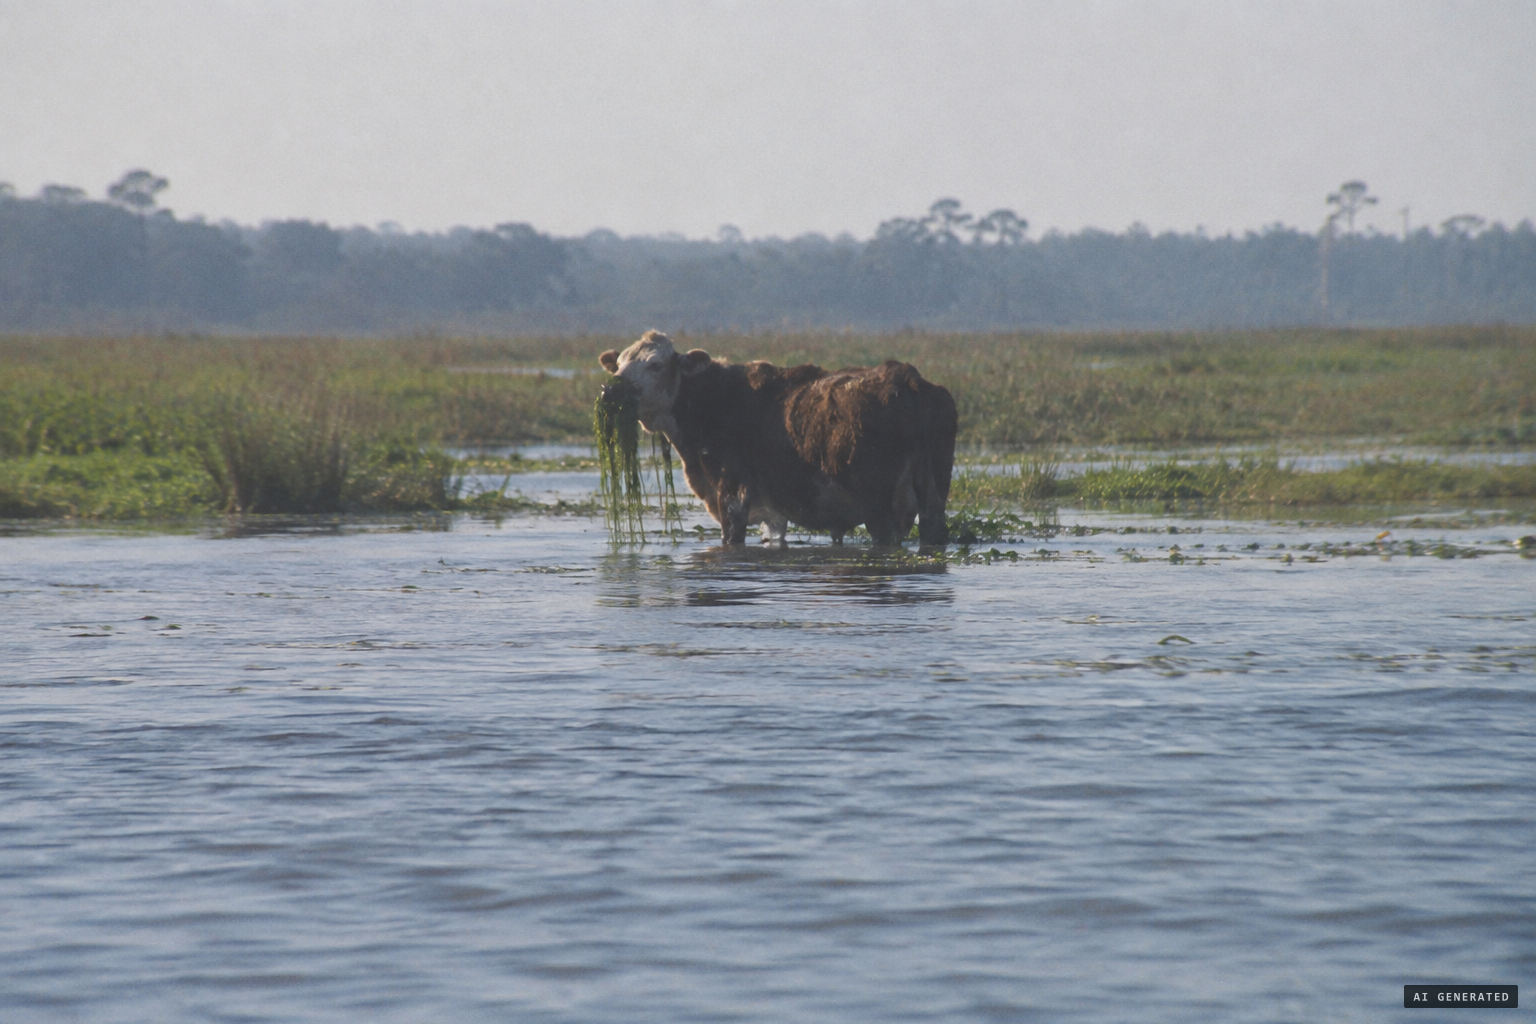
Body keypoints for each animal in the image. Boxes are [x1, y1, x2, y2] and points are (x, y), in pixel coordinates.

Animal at [598, 330, 956, 549]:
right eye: (618, 365)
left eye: (656, 364)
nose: (611, 391)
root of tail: (909, 379)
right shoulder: (774, 512)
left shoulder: (731, 498)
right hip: (933, 496)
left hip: (879, 509)